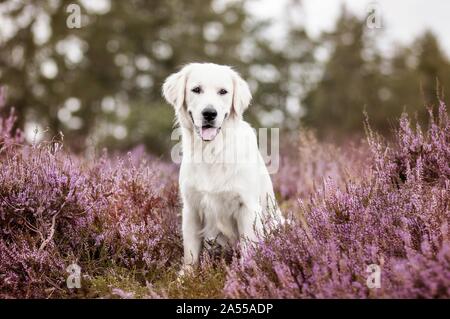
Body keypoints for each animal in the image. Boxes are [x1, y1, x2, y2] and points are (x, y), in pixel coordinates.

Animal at [162, 62, 282, 270]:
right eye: (196, 89)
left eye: (223, 91)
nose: (210, 113)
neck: (212, 150)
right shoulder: (191, 208)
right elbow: (190, 253)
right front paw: (187, 276)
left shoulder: (247, 207)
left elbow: (249, 248)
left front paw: (246, 272)